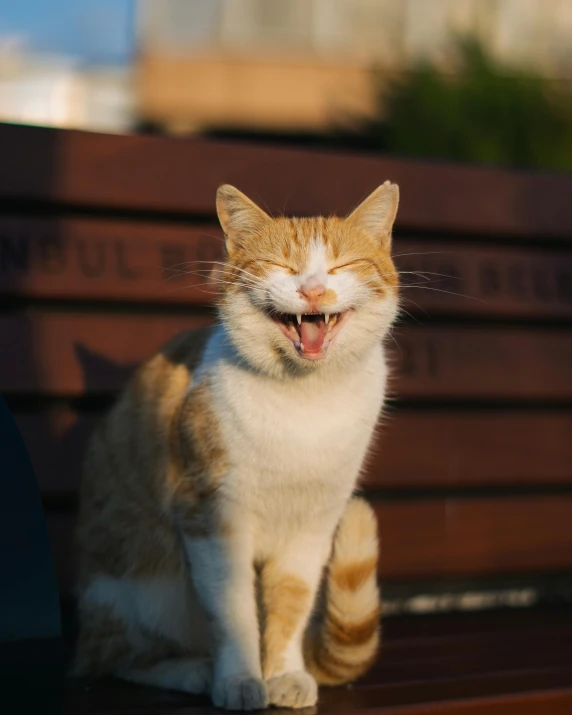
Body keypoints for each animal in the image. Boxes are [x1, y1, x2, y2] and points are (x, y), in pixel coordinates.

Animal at [72, 180, 398, 712]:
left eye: (340, 266)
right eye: (282, 266)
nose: (312, 290)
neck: (306, 401)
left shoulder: (313, 526)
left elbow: (290, 605)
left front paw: (283, 673)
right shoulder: (211, 516)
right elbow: (233, 609)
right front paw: (241, 679)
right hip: (146, 583)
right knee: (115, 657)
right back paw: (190, 670)